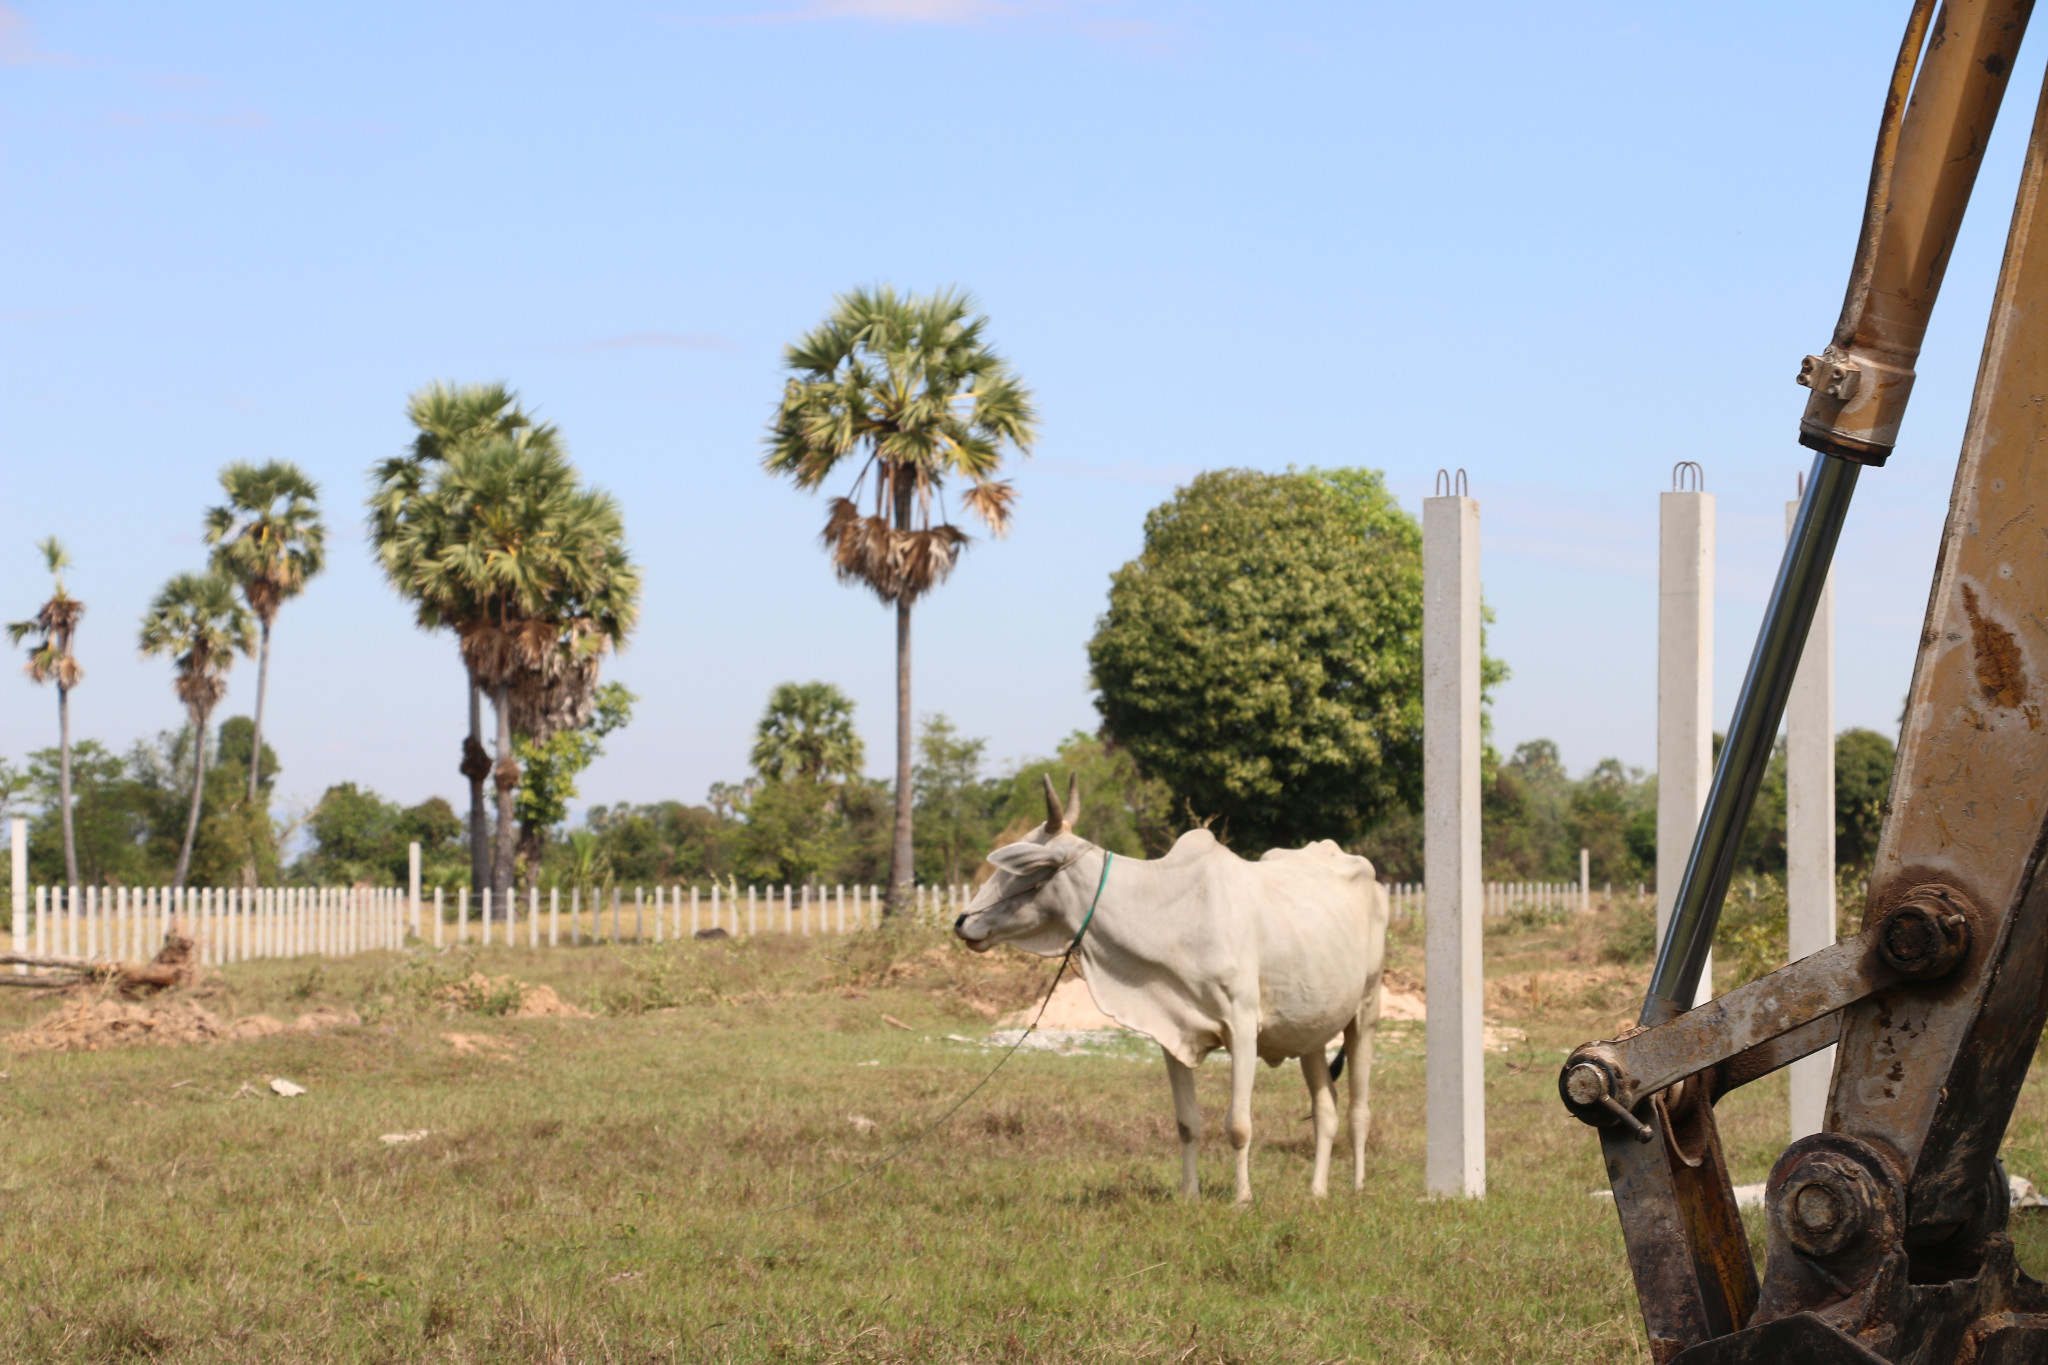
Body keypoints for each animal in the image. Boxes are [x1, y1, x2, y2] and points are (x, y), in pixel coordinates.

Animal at [950, 777, 1384, 1203]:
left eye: (1025, 869)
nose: (961, 921)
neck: (1170, 913)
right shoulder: (1171, 1033)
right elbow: (1187, 1123)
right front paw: (1189, 1196)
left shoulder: (1243, 1028)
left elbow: (1238, 1125)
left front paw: (1243, 1199)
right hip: (1311, 1030)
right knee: (1326, 1108)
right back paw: (1317, 1192)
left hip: (1365, 1012)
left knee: (1359, 1110)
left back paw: (1358, 1187)